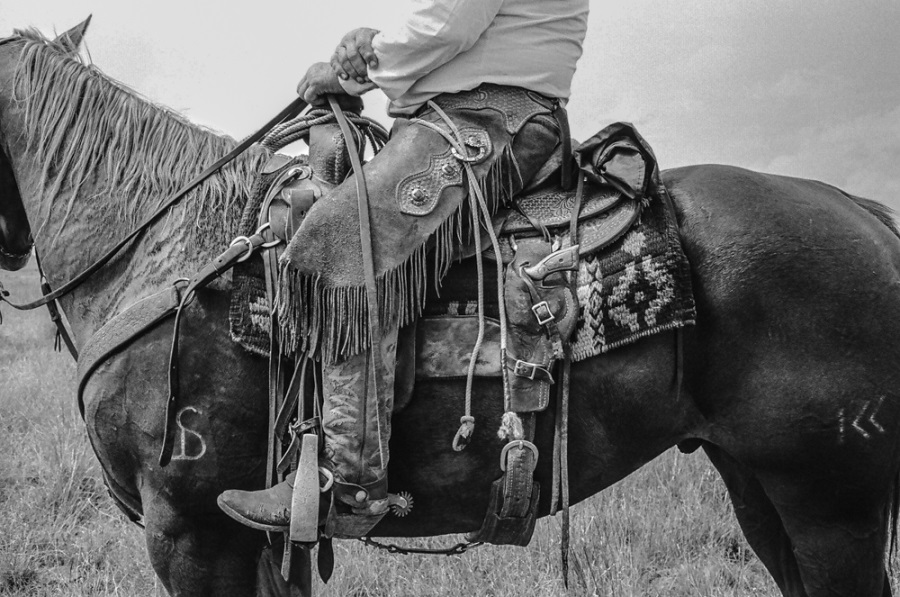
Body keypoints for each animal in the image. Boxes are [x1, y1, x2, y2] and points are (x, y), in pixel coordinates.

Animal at [1, 18, 900, 596]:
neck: (169, 245)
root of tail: (863, 211)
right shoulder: (263, 543)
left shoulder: (191, 529)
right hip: (758, 487)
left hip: (832, 505)